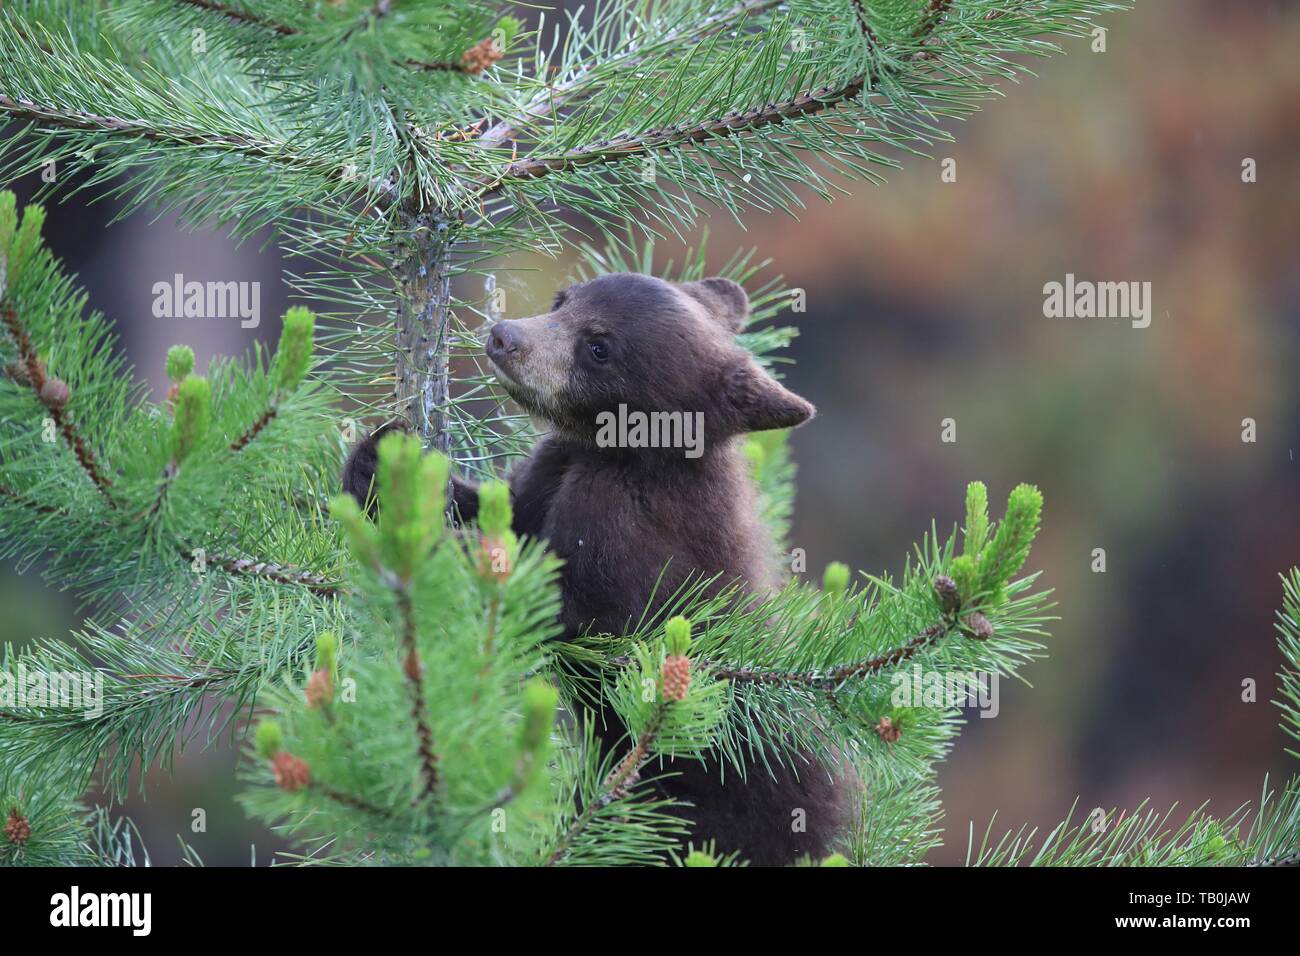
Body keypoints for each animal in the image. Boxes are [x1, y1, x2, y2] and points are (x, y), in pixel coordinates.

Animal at [344, 272, 851, 865]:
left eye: (599, 348)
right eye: (563, 300)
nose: (503, 336)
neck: (620, 454)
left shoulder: (629, 532)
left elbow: (571, 610)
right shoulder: (553, 467)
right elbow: (505, 511)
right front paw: (383, 464)